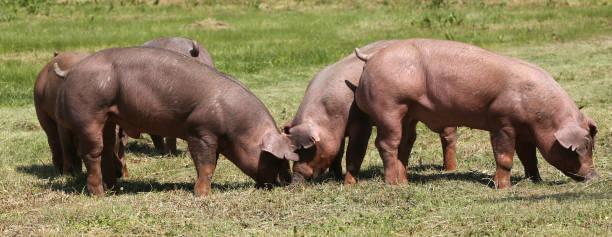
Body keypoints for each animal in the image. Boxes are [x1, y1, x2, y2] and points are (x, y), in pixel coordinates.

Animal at [53, 46, 298, 196]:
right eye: (276, 159)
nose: (287, 182)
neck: (237, 129)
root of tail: (71, 71)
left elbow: (212, 163)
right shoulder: (200, 131)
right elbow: (206, 164)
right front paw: (203, 195)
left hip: (109, 118)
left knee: (106, 149)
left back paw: (113, 188)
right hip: (88, 114)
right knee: (92, 153)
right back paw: (99, 194)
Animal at [286, 40, 460, 185]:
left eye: (309, 149)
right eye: (294, 148)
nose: (295, 181)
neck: (329, 114)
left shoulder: (362, 122)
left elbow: (354, 152)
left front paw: (348, 183)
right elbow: (338, 152)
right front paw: (335, 177)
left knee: (449, 136)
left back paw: (450, 169)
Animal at [354, 38, 596, 189]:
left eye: (591, 145)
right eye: (581, 148)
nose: (595, 176)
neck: (542, 116)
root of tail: (371, 58)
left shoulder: (525, 132)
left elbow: (529, 158)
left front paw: (536, 181)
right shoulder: (502, 121)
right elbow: (505, 157)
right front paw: (503, 188)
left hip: (409, 112)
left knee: (405, 143)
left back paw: (404, 183)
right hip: (389, 106)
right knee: (386, 143)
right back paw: (392, 184)